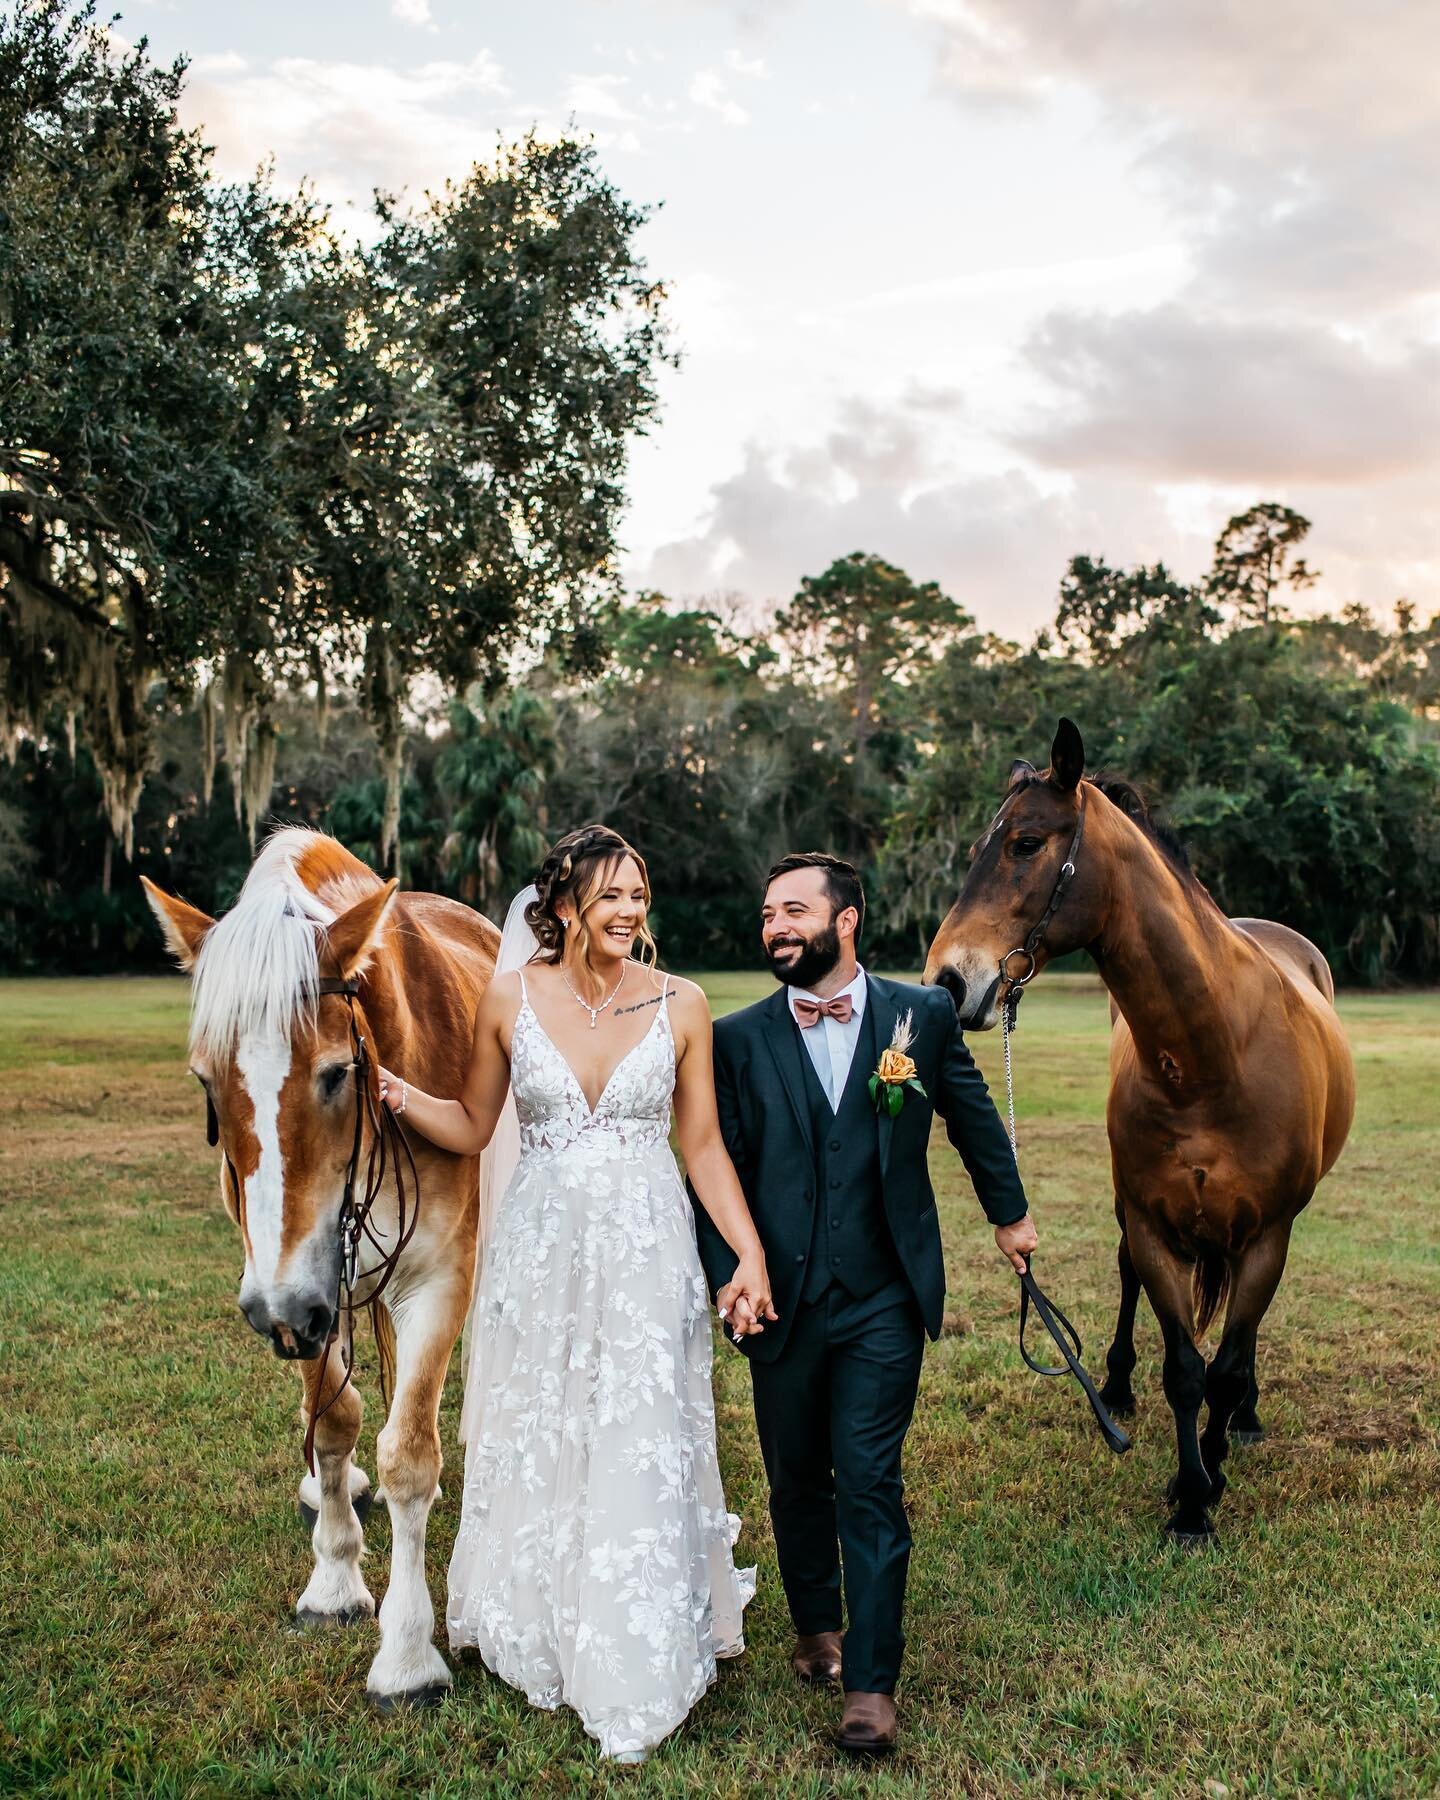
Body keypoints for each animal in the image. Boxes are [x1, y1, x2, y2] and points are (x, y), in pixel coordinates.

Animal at [143, 828, 496, 1699]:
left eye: (337, 1072)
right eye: (206, 1079)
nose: (277, 1313)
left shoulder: (438, 1277)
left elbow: (409, 1455)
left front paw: (407, 1654)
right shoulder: (297, 1287)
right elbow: (335, 1422)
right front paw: (334, 1580)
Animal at [921, 723, 1353, 1540]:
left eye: (1025, 843)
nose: (946, 981)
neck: (1211, 1057)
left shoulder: (1267, 1234)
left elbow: (1225, 1368)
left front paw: (1211, 1473)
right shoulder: (1152, 1223)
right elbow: (1184, 1370)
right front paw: (1190, 1496)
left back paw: (1246, 1421)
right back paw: (1118, 1388)